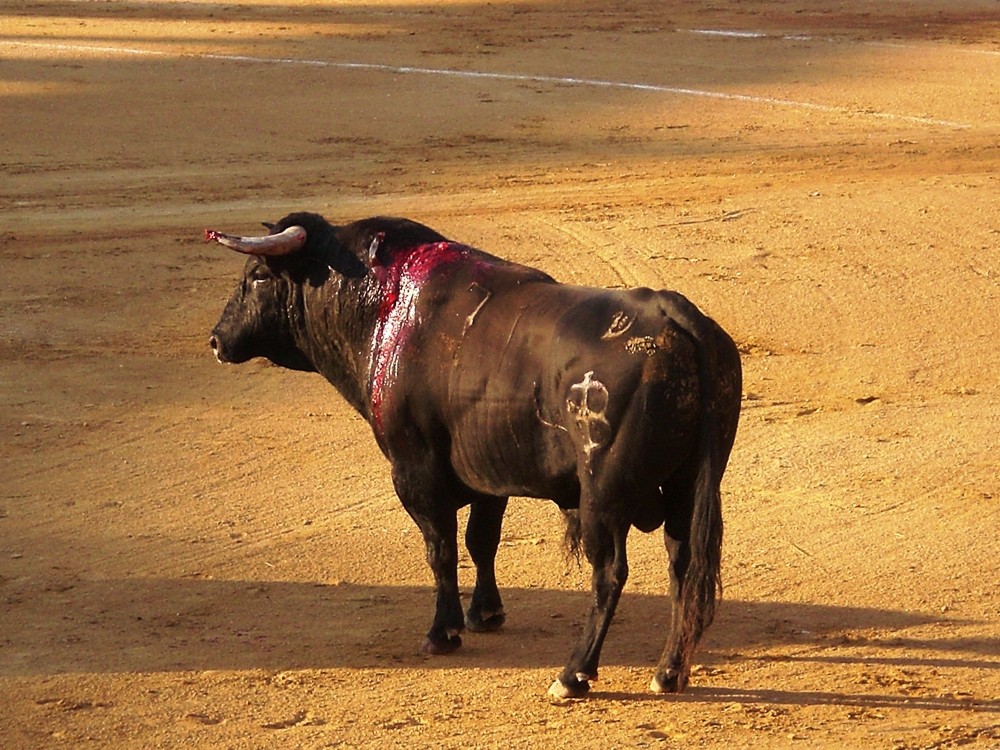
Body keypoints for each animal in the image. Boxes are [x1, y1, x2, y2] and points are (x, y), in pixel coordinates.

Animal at [209, 213, 744, 700]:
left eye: (257, 276)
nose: (216, 340)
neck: (379, 310)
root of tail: (675, 315)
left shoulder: (414, 470)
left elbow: (441, 547)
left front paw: (442, 632)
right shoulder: (490, 471)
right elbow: (481, 540)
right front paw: (486, 613)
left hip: (604, 495)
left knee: (610, 572)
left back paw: (574, 675)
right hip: (689, 486)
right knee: (683, 566)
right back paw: (668, 672)